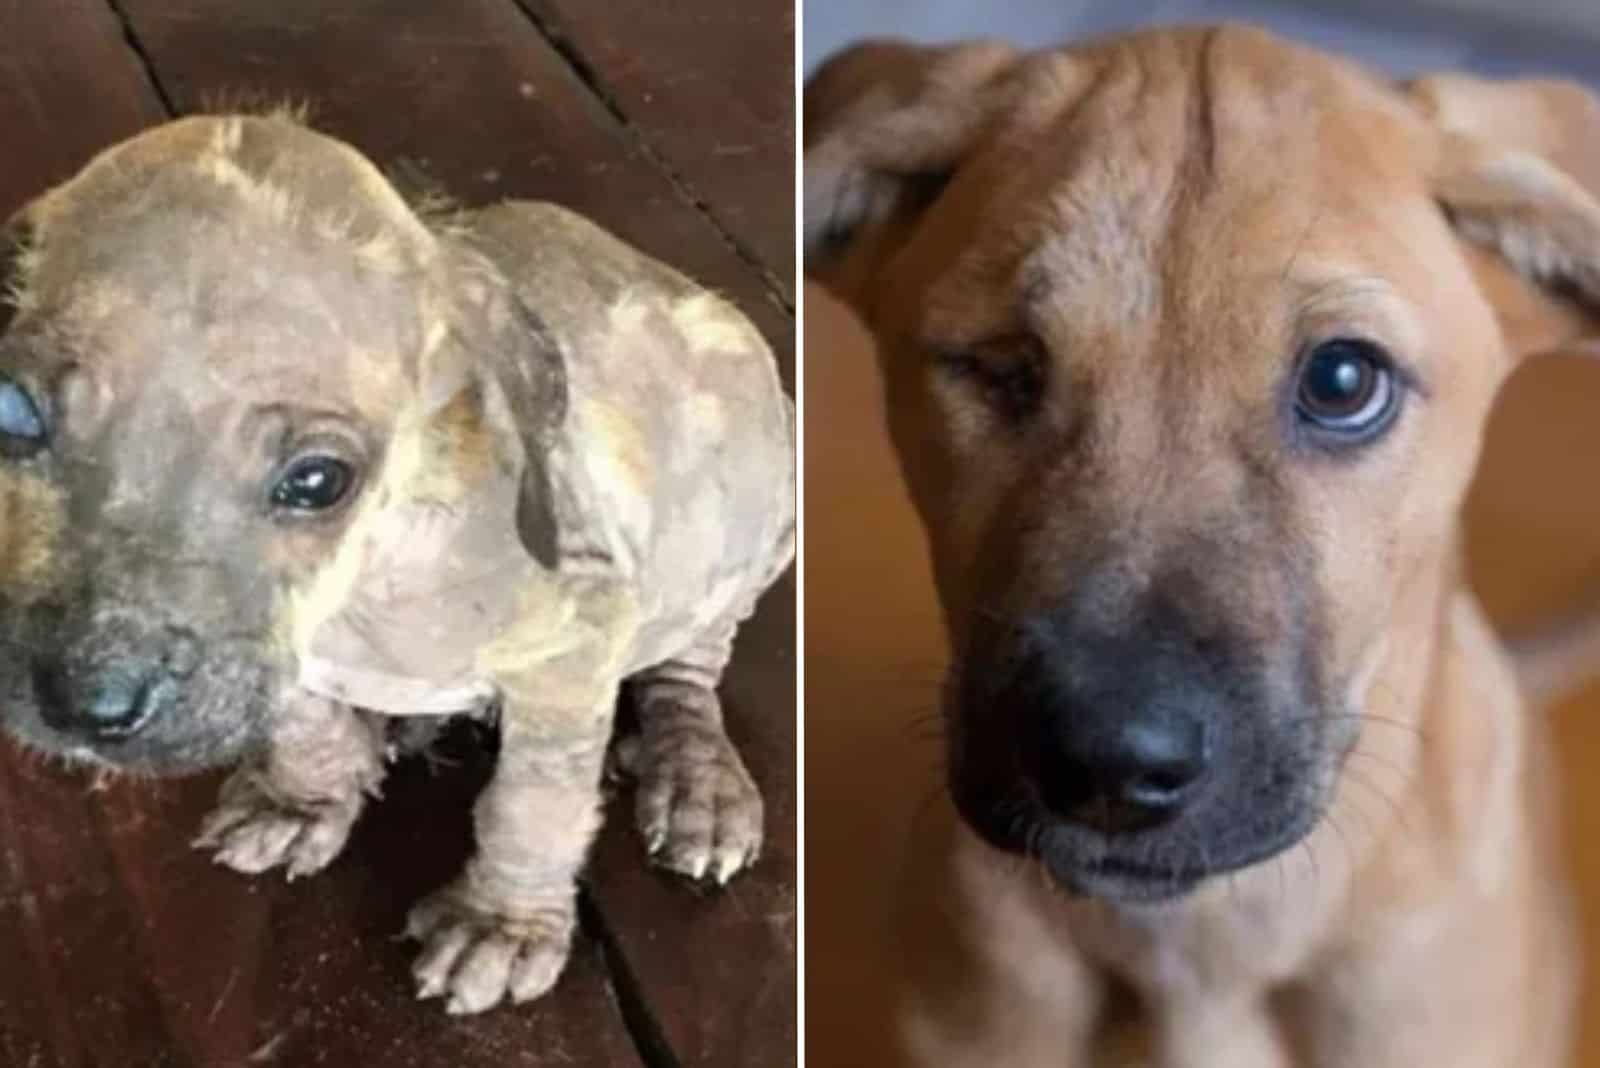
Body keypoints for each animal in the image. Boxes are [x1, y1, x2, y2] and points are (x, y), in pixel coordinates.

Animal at [0, 112, 796, 1016]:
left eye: (318, 480)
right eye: (12, 411)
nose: (86, 706)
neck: (367, 583)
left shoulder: (576, 644)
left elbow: (535, 803)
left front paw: (502, 925)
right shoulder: (294, 646)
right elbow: (305, 718)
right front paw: (303, 798)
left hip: (753, 526)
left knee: (688, 671)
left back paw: (695, 777)